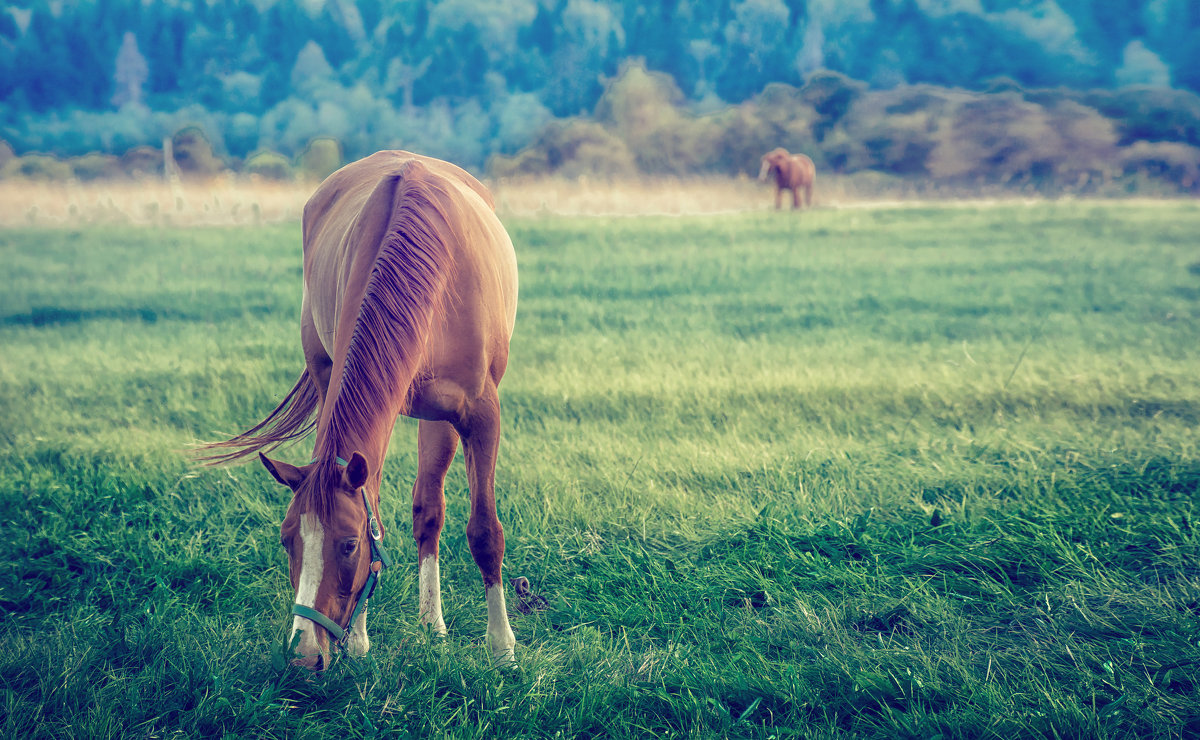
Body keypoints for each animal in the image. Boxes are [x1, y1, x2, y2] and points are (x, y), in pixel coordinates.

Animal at [199, 149, 518, 671]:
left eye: (348, 544)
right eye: (287, 539)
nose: (304, 653)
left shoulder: (480, 415)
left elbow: (485, 532)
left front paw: (502, 647)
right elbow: (379, 516)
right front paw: (360, 640)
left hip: (439, 419)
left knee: (431, 508)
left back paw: (434, 623)